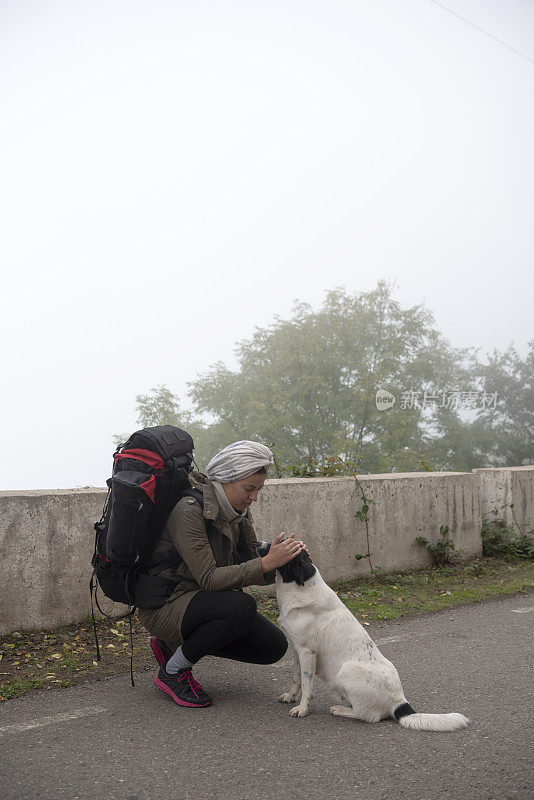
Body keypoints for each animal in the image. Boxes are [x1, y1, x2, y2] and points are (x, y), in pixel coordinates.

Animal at [274, 552, 472, 732]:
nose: (266, 544)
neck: (302, 590)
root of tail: (399, 701)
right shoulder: (297, 650)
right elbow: (297, 678)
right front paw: (291, 696)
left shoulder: (307, 652)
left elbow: (307, 685)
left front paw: (302, 709)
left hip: (346, 671)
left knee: (370, 716)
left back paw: (340, 709)